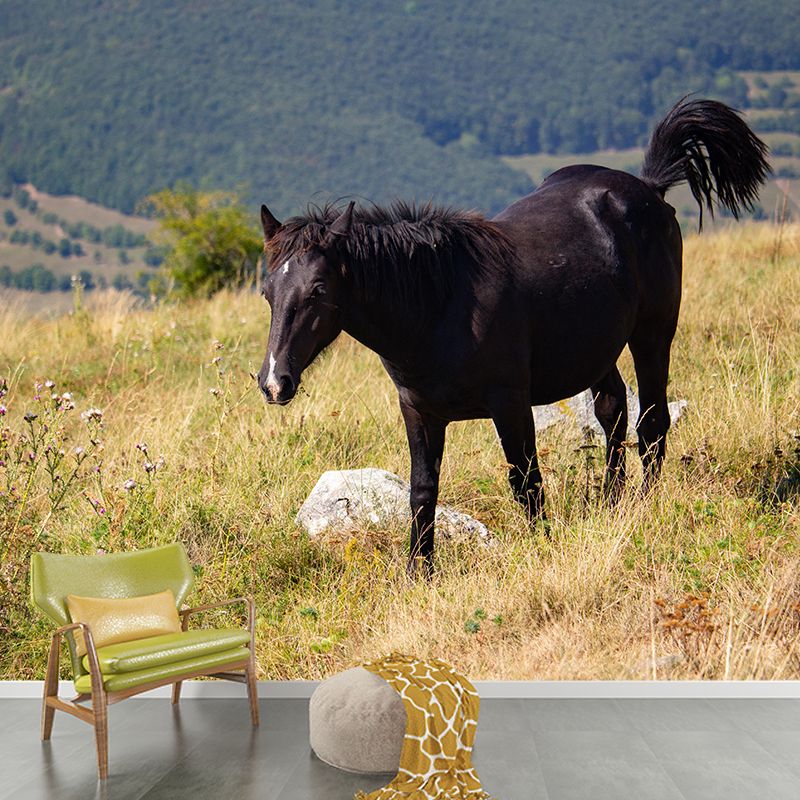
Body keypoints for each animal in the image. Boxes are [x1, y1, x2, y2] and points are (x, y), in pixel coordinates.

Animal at [256, 98, 769, 577]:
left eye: (318, 290)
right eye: (267, 290)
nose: (275, 382)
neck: (441, 306)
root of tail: (649, 189)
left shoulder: (510, 403)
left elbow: (526, 482)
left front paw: (542, 548)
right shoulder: (419, 411)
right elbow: (422, 491)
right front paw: (419, 573)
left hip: (653, 334)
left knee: (652, 422)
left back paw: (642, 505)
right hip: (596, 349)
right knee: (613, 411)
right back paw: (611, 506)